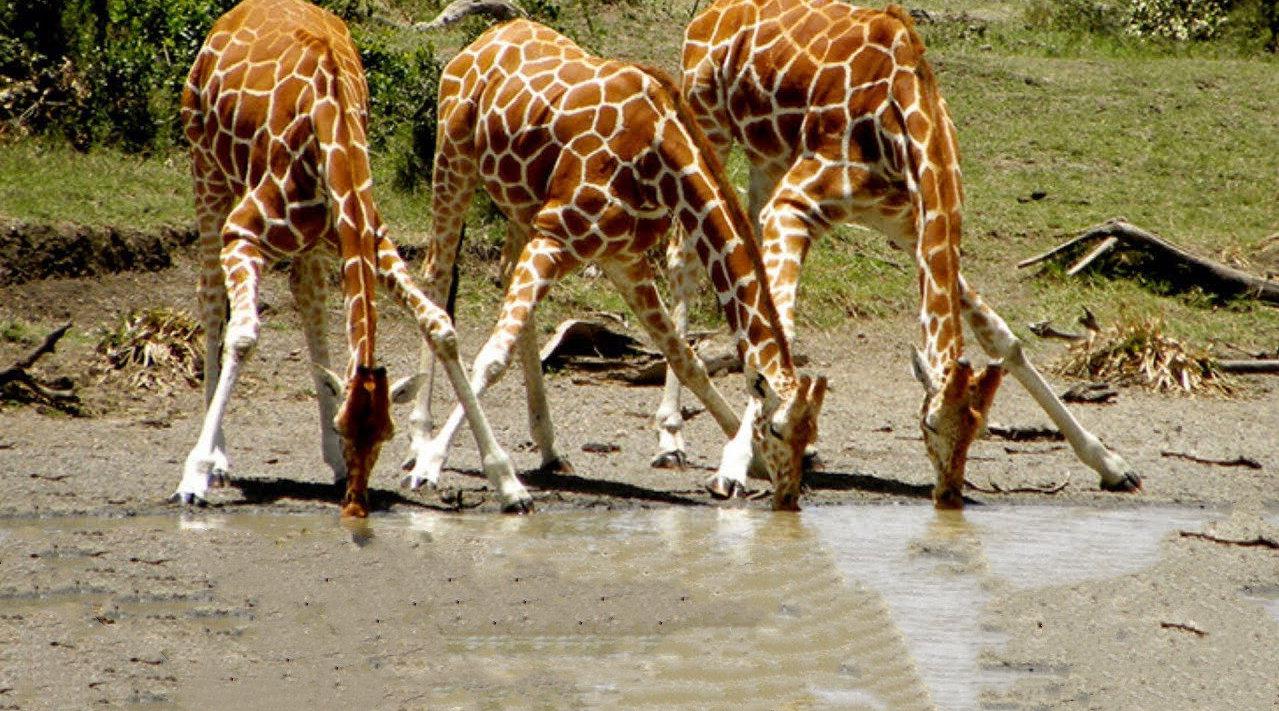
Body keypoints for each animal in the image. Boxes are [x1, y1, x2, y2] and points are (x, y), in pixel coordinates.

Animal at [176, 0, 529, 516]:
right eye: (347, 429)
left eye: (385, 433)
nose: (356, 504)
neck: (332, 132)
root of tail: (232, 16)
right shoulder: (242, 232)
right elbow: (243, 336)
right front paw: (196, 473)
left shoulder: (371, 239)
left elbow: (441, 328)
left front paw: (508, 482)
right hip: (205, 165)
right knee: (210, 297)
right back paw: (219, 457)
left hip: (306, 240)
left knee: (308, 298)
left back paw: (327, 461)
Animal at [399, 8, 828, 514]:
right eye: (778, 429)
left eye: (810, 433)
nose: (789, 499)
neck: (660, 159)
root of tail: (480, 42)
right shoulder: (556, 236)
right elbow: (491, 359)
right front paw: (439, 465)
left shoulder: (621, 256)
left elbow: (685, 357)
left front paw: (741, 466)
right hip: (453, 159)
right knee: (437, 276)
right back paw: (419, 442)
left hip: (521, 204)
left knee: (503, 280)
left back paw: (549, 447)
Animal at [675, 0, 1145, 506]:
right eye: (930, 424)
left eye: (979, 428)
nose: (949, 495)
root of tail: (708, 14)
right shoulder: (794, 206)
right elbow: (776, 334)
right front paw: (733, 467)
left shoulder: (906, 224)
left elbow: (1004, 338)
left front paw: (1111, 464)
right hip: (707, 125)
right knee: (683, 261)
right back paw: (671, 440)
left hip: (766, 159)